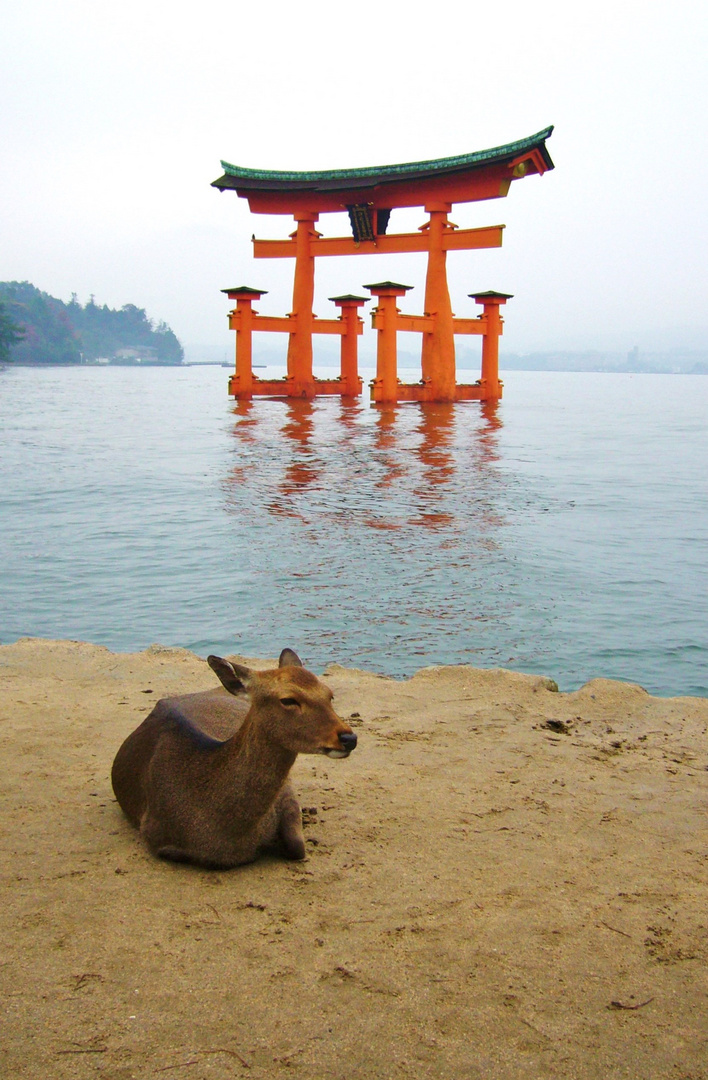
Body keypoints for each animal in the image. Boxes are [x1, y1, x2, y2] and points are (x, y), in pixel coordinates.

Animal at [111, 648, 356, 868]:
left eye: (329, 695)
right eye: (288, 700)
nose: (349, 738)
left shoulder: (286, 795)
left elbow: (297, 847)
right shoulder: (153, 831)